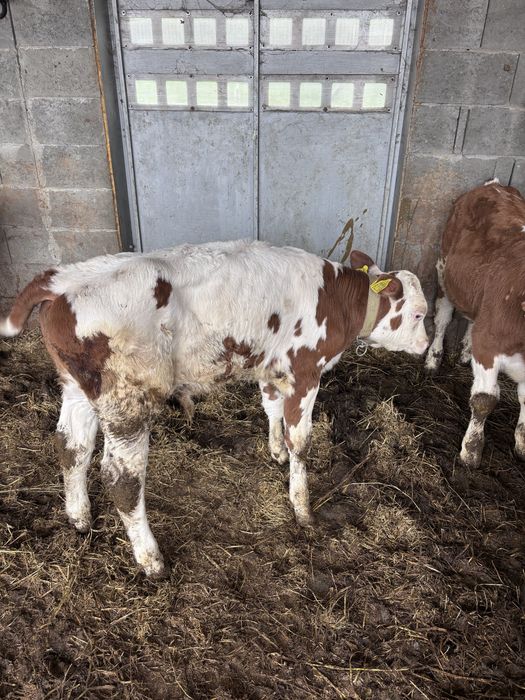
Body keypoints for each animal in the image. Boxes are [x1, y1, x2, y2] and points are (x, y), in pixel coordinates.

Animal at [1, 239, 428, 577]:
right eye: (419, 314)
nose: (426, 346)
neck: (335, 299)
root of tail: (62, 279)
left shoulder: (271, 366)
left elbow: (271, 408)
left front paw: (275, 451)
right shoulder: (306, 371)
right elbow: (301, 441)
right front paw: (303, 508)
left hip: (76, 387)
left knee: (71, 448)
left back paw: (79, 518)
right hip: (127, 400)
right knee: (121, 480)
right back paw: (151, 560)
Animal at [425, 179, 525, 467]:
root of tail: (496, 185)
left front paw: (522, 445)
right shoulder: (489, 345)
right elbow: (484, 400)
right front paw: (470, 451)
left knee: (472, 319)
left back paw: (465, 353)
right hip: (444, 269)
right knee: (443, 317)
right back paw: (433, 360)